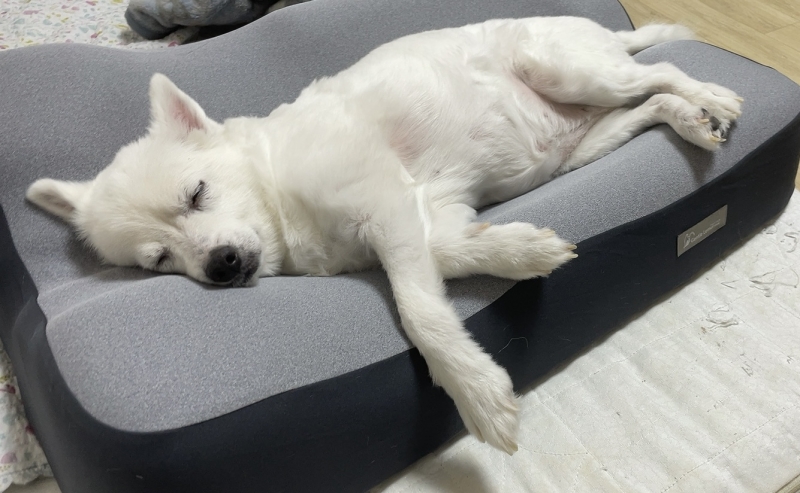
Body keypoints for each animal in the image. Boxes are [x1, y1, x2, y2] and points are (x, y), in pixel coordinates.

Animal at [26, 16, 741, 454]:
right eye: (159, 261)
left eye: (197, 194)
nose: (222, 265)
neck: (281, 197)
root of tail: (604, 31)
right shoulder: (430, 214)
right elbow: (452, 251)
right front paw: (521, 250)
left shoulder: (386, 205)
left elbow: (420, 312)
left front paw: (477, 394)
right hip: (582, 144)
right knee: (651, 103)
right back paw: (691, 118)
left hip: (570, 72)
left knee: (661, 71)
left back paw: (715, 97)